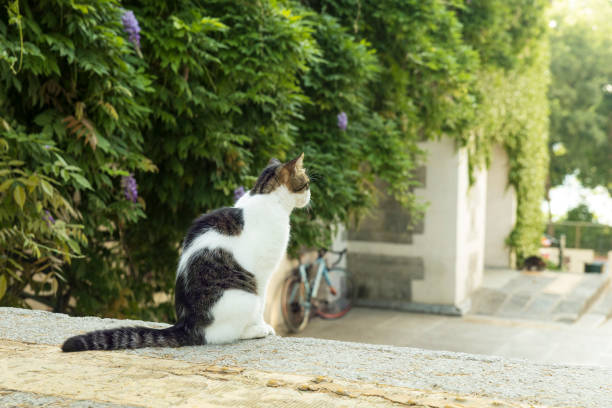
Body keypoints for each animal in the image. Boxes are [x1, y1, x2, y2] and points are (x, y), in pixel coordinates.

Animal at [62, 153, 310, 350]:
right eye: (306, 183)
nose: (310, 197)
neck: (265, 196)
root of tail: (186, 324)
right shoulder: (263, 275)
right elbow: (262, 306)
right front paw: (262, 326)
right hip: (246, 296)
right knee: (224, 333)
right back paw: (255, 331)